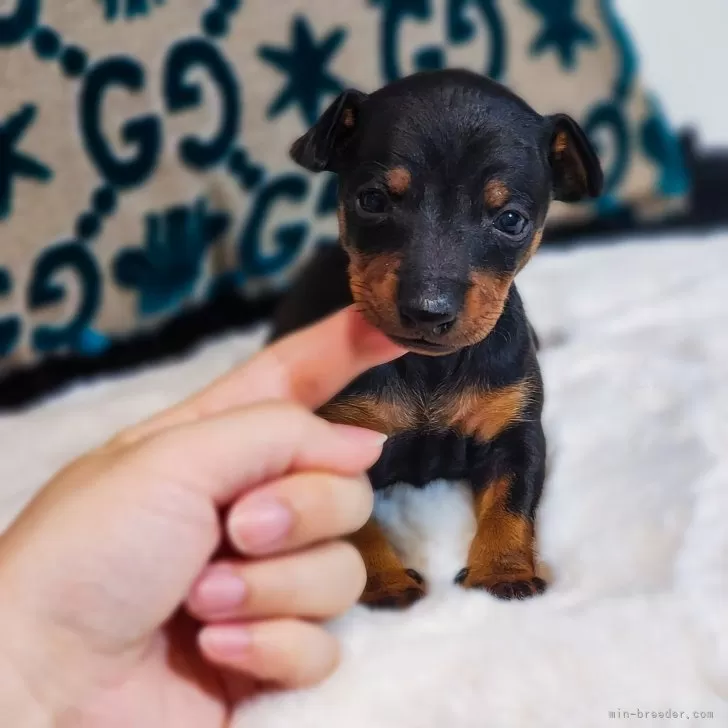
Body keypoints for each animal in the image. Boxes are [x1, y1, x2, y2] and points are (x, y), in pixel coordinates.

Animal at [268, 68, 604, 604]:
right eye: (372, 200)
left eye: (511, 220)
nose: (427, 311)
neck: (430, 366)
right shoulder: (339, 446)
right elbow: (357, 527)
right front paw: (385, 582)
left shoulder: (516, 433)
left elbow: (511, 504)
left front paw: (503, 572)